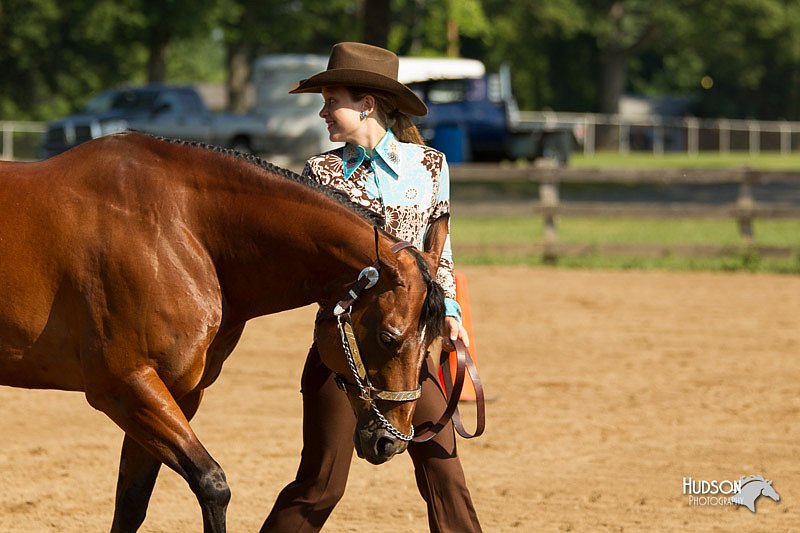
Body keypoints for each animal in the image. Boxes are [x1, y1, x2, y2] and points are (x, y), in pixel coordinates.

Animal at [0, 130, 446, 532]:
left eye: (432, 344)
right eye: (389, 337)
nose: (392, 440)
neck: (177, 229)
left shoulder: (176, 392)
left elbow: (131, 502)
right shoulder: (126, 387)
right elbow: (211, 483)